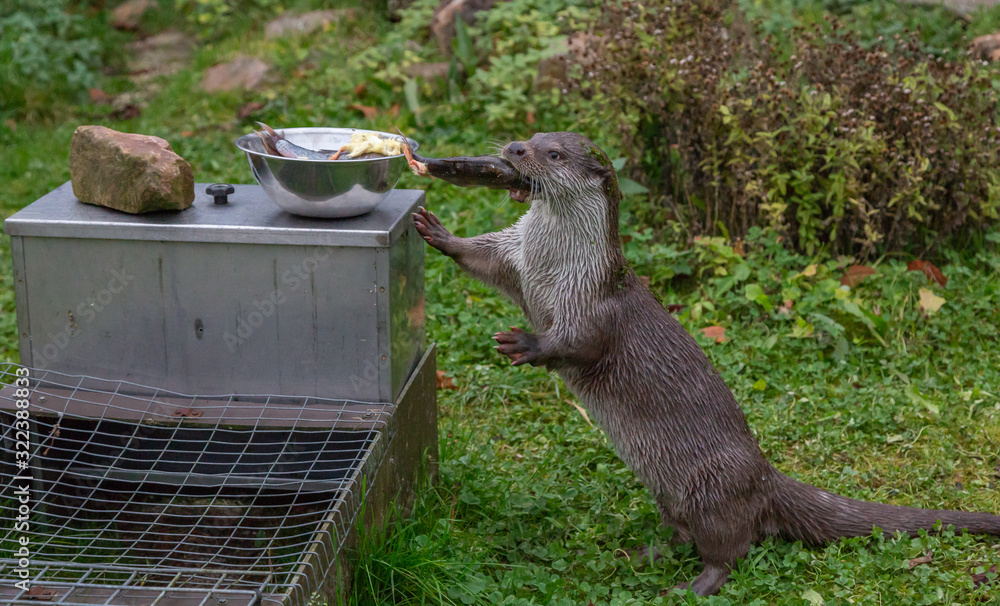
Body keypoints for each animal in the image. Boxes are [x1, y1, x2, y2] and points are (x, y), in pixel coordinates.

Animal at [410, 131, 1000, 596]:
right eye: (528, 137)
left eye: (551, 153)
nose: (513, 150)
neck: (554, 263)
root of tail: (765, 476)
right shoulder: (515, 256)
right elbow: (481, 257)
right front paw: (438, 232)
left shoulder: (590, 304)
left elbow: (578, 344)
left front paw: (526, 343)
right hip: (669, 491)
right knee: (684, 535)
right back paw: (645, 554)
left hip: (715, 489)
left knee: (730, 551)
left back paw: (691, 587)